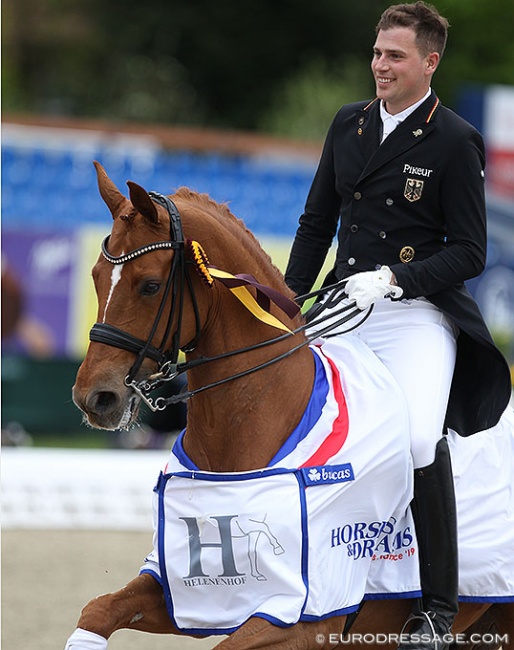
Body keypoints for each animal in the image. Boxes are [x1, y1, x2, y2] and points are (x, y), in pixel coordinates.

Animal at [69, 158, 512, 648]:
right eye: (94, 277)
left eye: (149, 286)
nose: (95, 397)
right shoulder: (181, 584)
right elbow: (98, 609)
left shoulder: (307, 617)